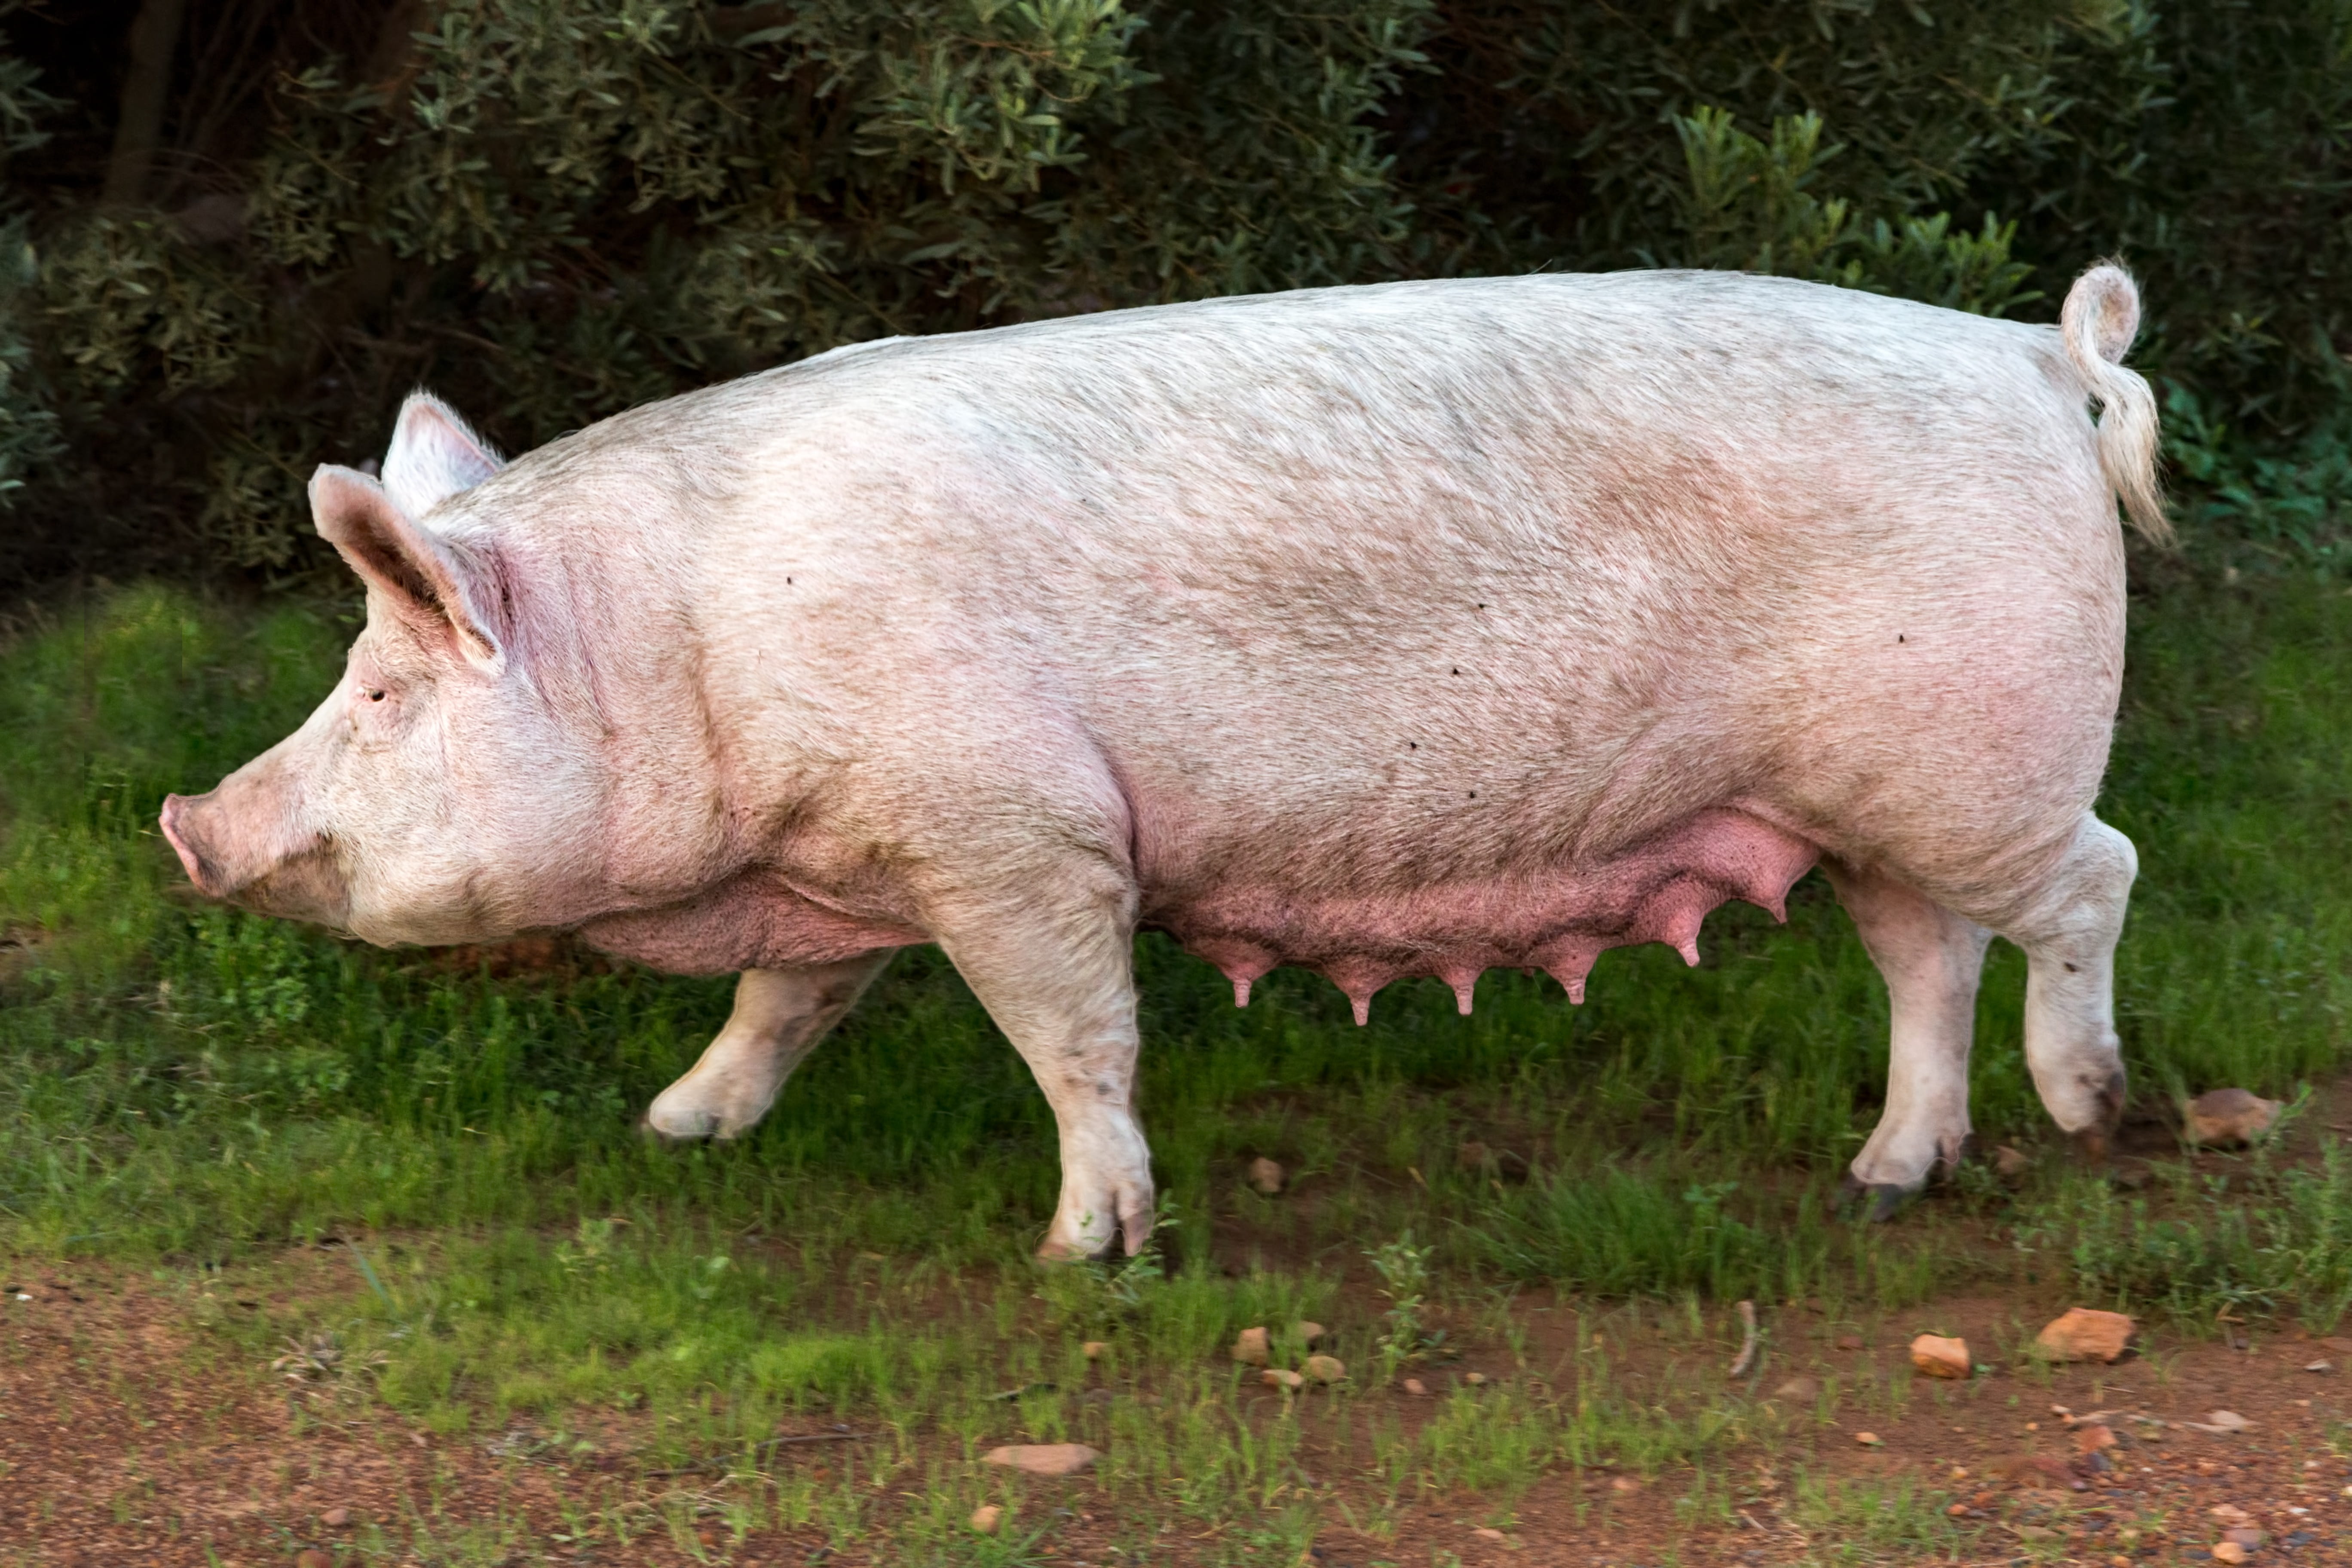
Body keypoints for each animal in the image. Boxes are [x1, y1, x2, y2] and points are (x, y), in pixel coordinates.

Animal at [161, 264, 2164, 1254]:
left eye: (380, 693)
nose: (186, 820)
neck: (691, 644)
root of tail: (2029, 356)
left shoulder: (1017, 833)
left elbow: (1075, 1037)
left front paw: (1087, 1249)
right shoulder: (855, 856)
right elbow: (783, 1002)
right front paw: (674, 1129)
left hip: (1973, 759)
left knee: (2093, 878)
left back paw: (2092, 1114)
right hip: (1875, 796)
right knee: (1922, 949)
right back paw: (1881, 1179)